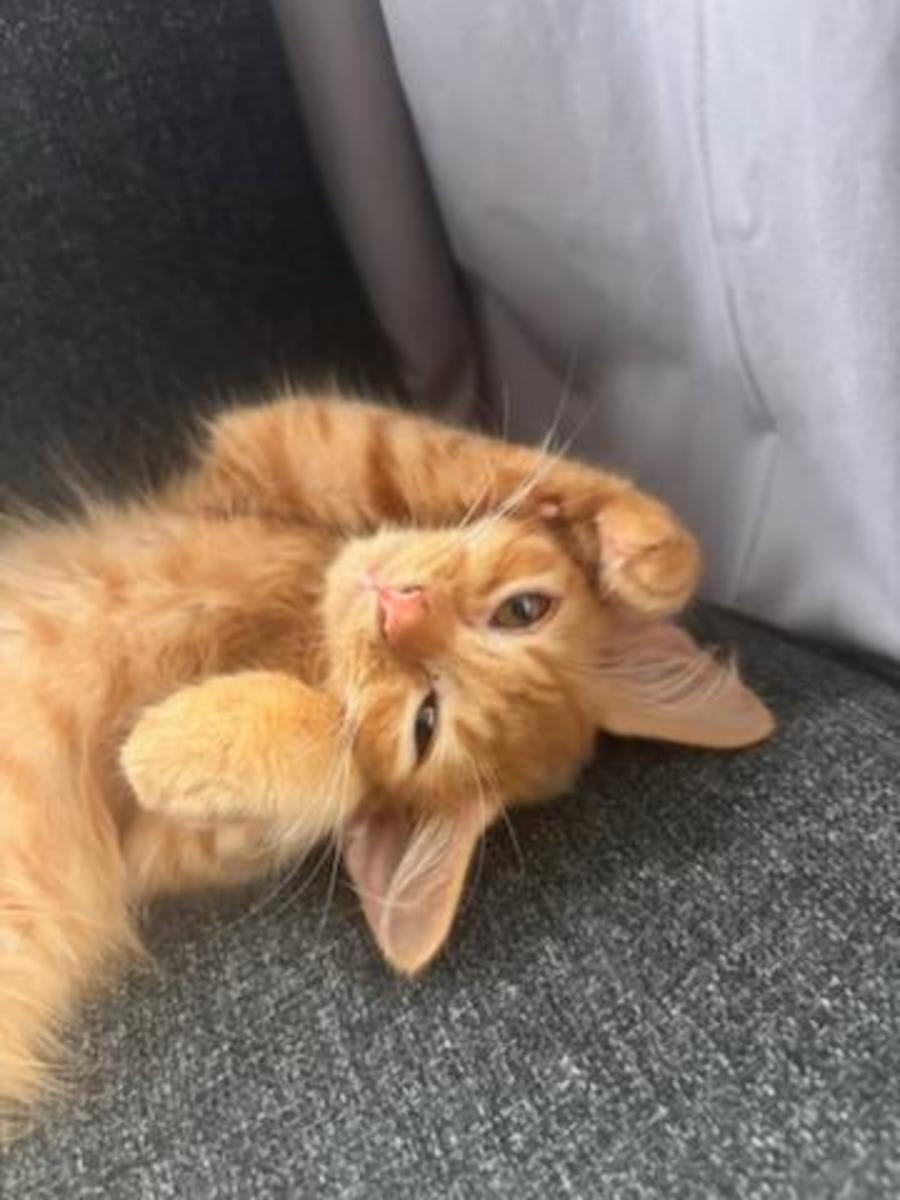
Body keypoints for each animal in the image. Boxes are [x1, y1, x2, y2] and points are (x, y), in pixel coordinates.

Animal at [0, 388, 773, 1137]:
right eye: (523, 610)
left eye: (424, 723)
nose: (400, 610)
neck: (299, 620)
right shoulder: (265, 448)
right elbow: (414, 450)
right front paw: (648, 548)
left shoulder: (147, 847)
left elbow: (332, 772)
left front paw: (180, 739)